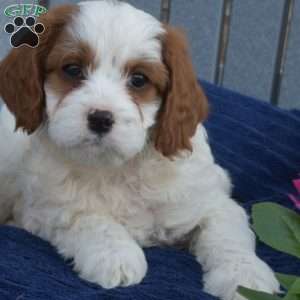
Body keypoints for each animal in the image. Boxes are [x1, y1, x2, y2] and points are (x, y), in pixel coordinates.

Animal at [0, 1, 278, 298]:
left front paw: (245, 277)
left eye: (139, 80)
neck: (117, 167)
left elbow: (227, 232)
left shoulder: (212, 202)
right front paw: (116, 256)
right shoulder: (46, 209)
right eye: (72, 69)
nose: (100, 118)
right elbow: (89, 219)